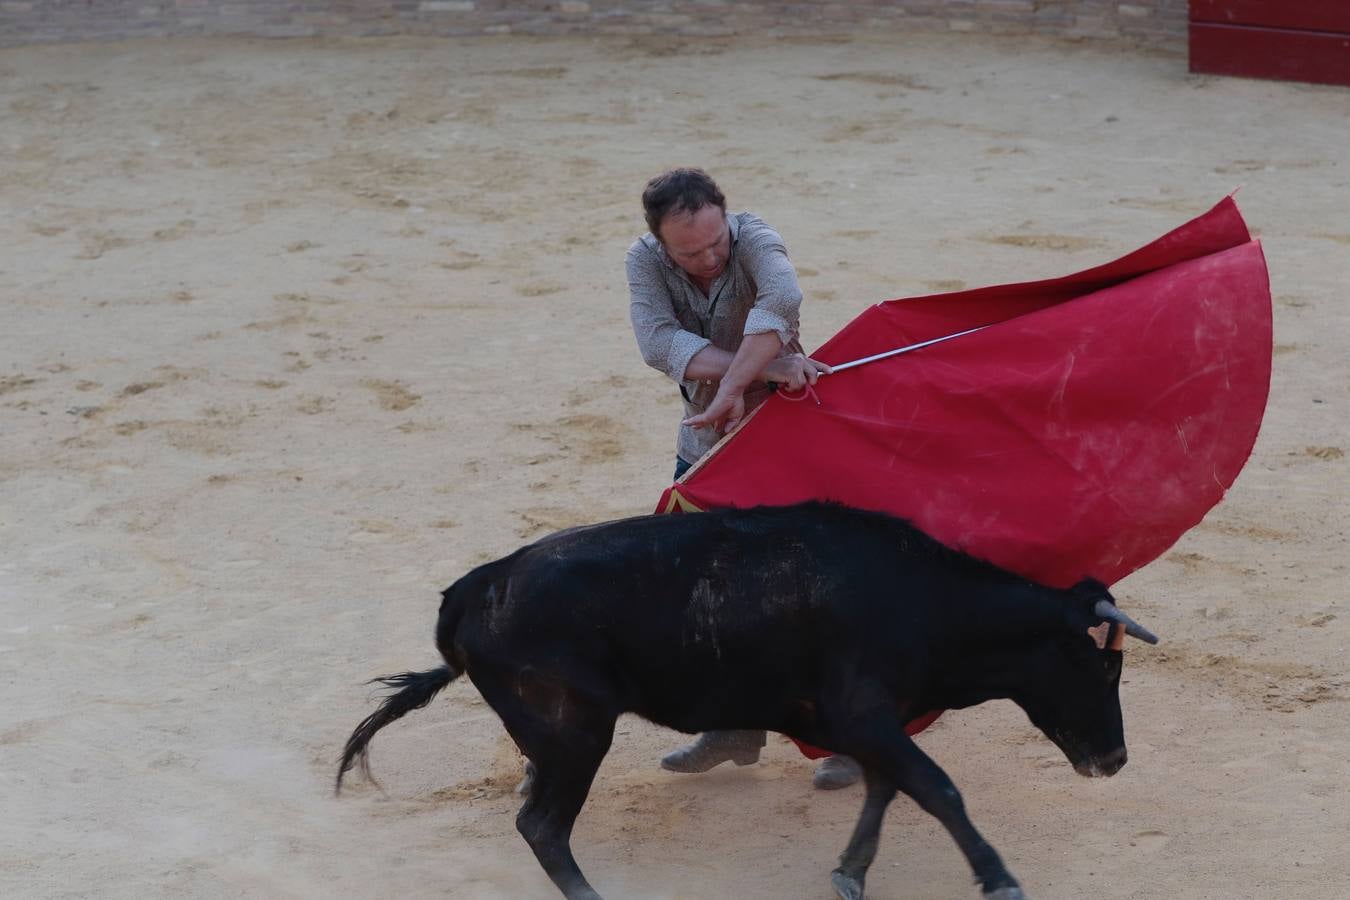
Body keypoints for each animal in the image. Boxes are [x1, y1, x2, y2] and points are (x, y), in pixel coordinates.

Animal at [334, 504, 1150, 895]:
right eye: (1101, 670)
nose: (1114, 760)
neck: (924, 599)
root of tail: (474, 590)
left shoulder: (861, 725)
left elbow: (888, 788)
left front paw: (851, 872)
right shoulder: (866, 716)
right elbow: (937, 788)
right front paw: (1000, 879)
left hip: (560, 736)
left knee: (538, 814)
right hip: (578, 734)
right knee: (542, 826)